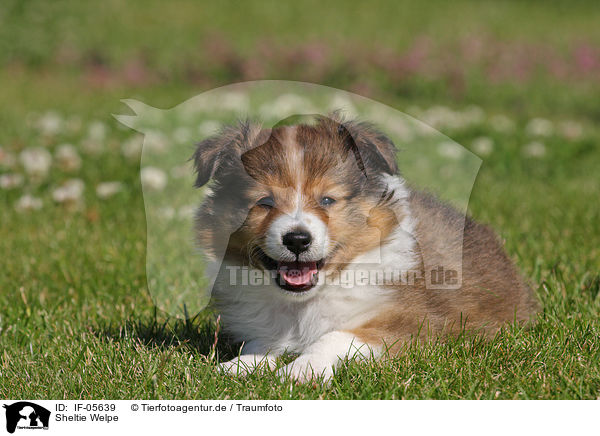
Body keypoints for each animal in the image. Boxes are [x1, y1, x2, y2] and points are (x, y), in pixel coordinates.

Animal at [193, 113, 540, 382]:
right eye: (264, 202)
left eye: (327, 200)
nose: (297, 239)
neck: (304, 303)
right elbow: (260, 344)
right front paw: (237, 366)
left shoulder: (414, 325)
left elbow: (337, 335)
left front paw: (301, 370)